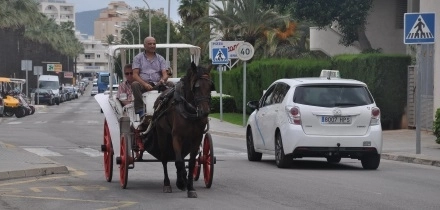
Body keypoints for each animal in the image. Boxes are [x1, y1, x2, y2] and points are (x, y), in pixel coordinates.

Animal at [150, 61, 213, 198]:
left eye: (211, 86)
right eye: (196, 87)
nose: (205, 112)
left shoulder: (196, 138)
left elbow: (191, 162)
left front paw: (190, 187)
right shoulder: (177, 136)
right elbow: (178, 161)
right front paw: (180, 183)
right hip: (162, 135)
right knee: (164, 158)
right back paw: (168, 184)